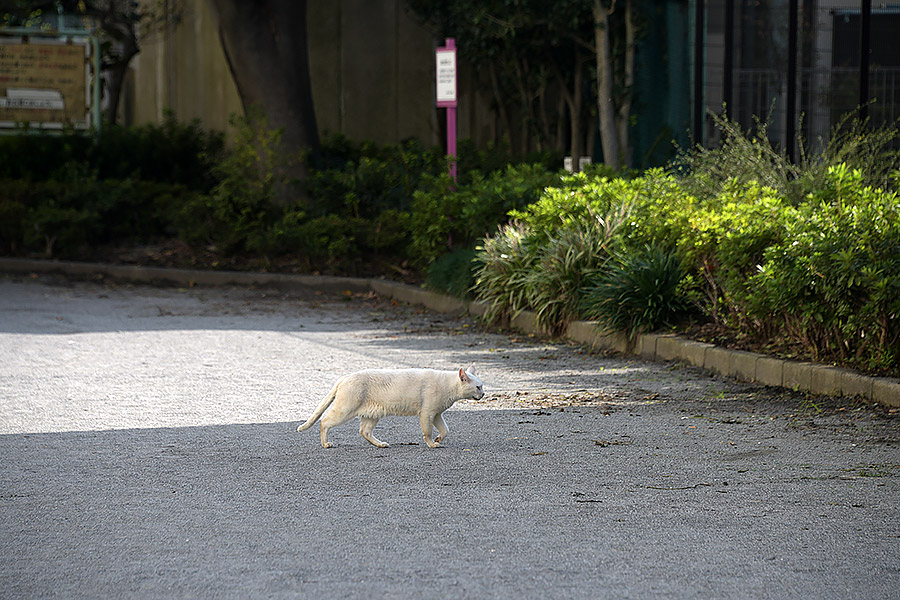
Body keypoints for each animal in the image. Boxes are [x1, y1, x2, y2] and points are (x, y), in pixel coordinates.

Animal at [298, 368, 486, 448]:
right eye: (478, 387)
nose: (483, 394)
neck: (449, 386)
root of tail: (344, 377)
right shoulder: (427, 413)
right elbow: (427, 432)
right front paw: (433, 444)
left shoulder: (437, 414)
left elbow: (445, 429)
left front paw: (439, 439)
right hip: (345, 410)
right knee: (324, 421)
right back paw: (326, 444)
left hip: (372, 414)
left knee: (364, 431)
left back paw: (381, 445)